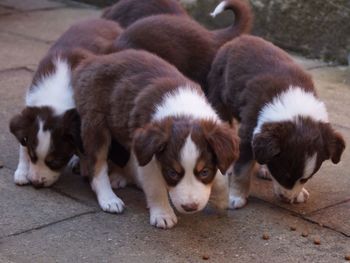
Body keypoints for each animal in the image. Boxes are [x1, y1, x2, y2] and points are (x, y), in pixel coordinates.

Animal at [8, 19, 122, 189]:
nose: (36, 183)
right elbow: (23, 141)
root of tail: (108, 21)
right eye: (33, 156)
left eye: (55, 162)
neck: (55, 92)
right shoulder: (30, 104)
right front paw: (21, 171)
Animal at [72, 49, 239, 229]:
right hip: (95, 123)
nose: (190, 207)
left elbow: (221, 176)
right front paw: (163, 214)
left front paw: (222, 199)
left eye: (205, 172)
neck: (184, 111)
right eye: (172, 173)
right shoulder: (149, 157)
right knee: (97, 166)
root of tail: (93, 60)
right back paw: (109, 198)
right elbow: (155, 187)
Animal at [206, 35, 346, 209]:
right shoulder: (248, 132)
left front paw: (299, 193)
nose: (287, 199)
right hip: (219, 100)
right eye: (284, 175)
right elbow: (242, 169)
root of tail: (241, 38)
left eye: (305, 179)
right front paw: (236, 197)